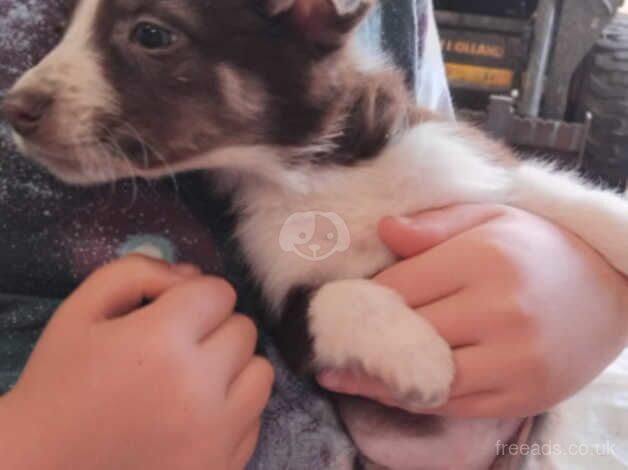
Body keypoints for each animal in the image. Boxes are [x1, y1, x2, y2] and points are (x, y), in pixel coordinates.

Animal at [4, 0, 628, 470]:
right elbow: (340, 294)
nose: (14, 107)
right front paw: (420, 356)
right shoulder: (284, 308)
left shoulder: (466, 161)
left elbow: (562, 191)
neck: (310, 173)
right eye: (62, 32)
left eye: (152, 34)